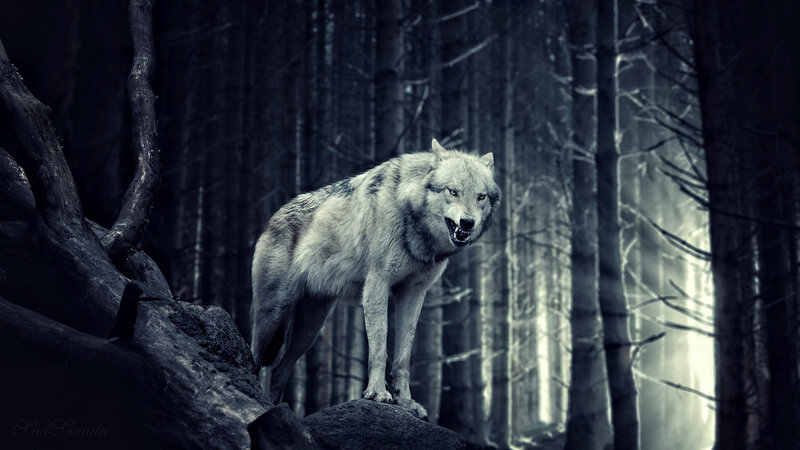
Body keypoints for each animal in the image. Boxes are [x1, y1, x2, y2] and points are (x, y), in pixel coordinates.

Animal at [251, 139, 500, 419]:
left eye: (480, 196)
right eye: (453, 191)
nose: (467, 222)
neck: (409, 215)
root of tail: (273, 217)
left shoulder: (413, 293)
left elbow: (402, 357)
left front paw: (406, 402)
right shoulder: (377, 286)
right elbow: (379, 349)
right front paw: (378, 394)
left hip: (310, 330)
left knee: (279, 371)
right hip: (272, 318)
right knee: (255, 358)